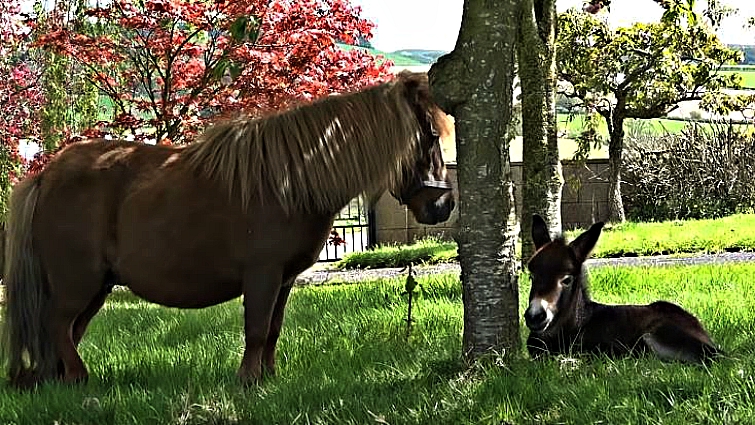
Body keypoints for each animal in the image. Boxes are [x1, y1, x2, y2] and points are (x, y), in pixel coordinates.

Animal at [1, 71, 456, 389]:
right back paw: (78, 379)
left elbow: (272, 330)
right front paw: (248, 381)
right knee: (57, 324)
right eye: (431, 135)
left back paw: (59, 379)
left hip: (97, 286)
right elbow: (255, 329)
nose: (443, 205)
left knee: (67, 330)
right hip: (78, 282)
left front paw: (268, 378)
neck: (290, 180)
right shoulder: (263, 275)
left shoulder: (284, 281)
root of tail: (47, 175)